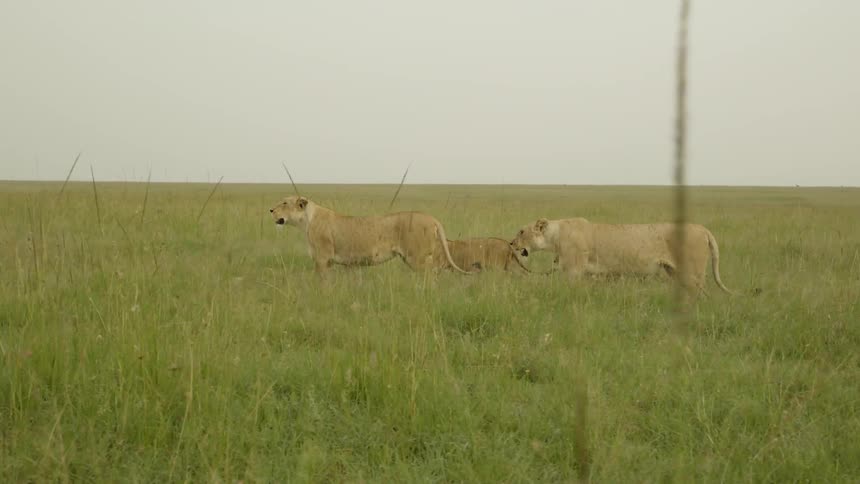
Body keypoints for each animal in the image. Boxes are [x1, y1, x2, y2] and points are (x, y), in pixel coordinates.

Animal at [270, 195, 472, 274]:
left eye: (285, 203)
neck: (306, 221)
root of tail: (432, 218)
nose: (271, 210)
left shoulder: (322, 259)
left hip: (418, 258)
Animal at [510, 217, 732, 294]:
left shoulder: (574, 273)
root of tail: (703, 229)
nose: (511, 243)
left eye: (521, 231)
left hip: (693, 273)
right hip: (676, 272)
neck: (555, 236)